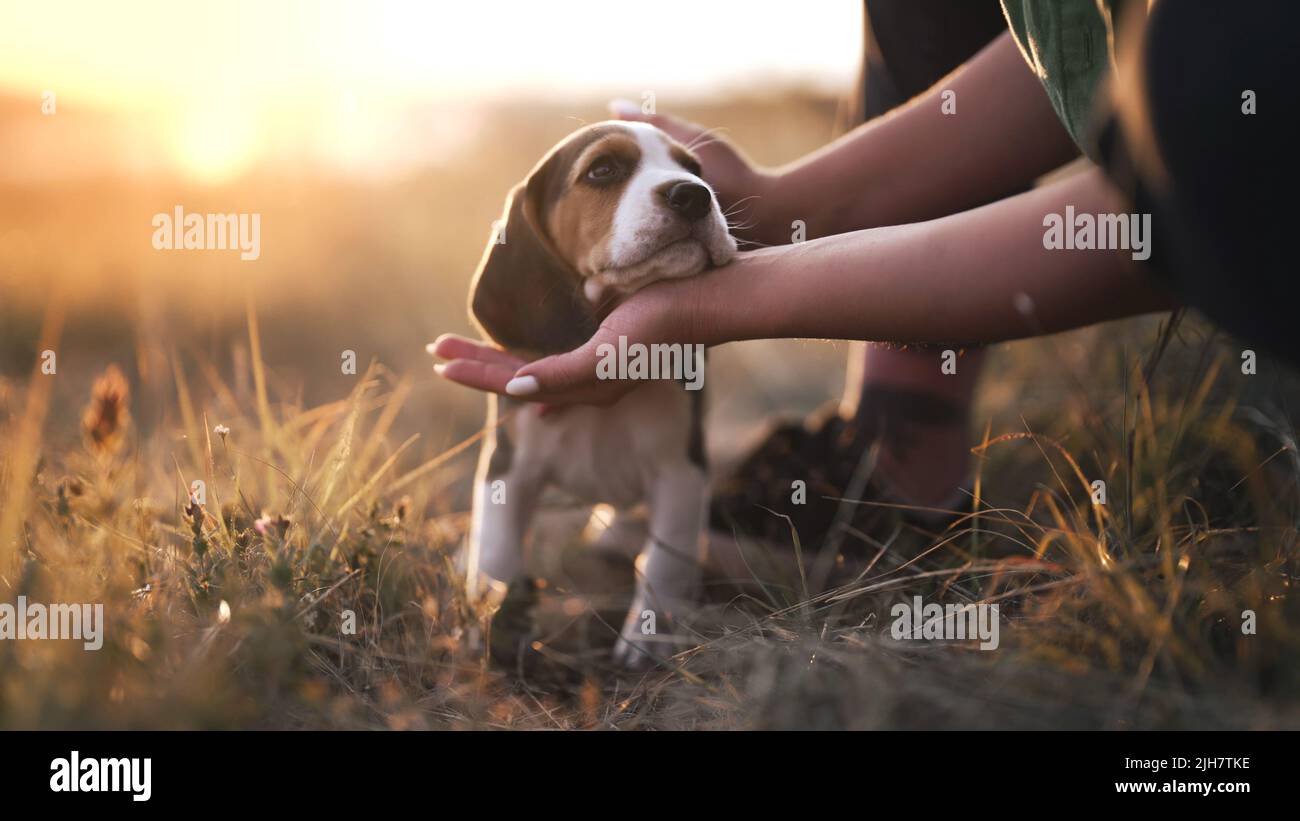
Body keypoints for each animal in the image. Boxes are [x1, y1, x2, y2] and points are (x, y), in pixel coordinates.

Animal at [462, 120, 738, 665]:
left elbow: (666, 560)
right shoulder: (508, 466)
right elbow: (498, 549)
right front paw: (493, 617)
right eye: (603, 169)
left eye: (694, 168)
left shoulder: (682, 470)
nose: (694, 194)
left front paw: (650, 637)